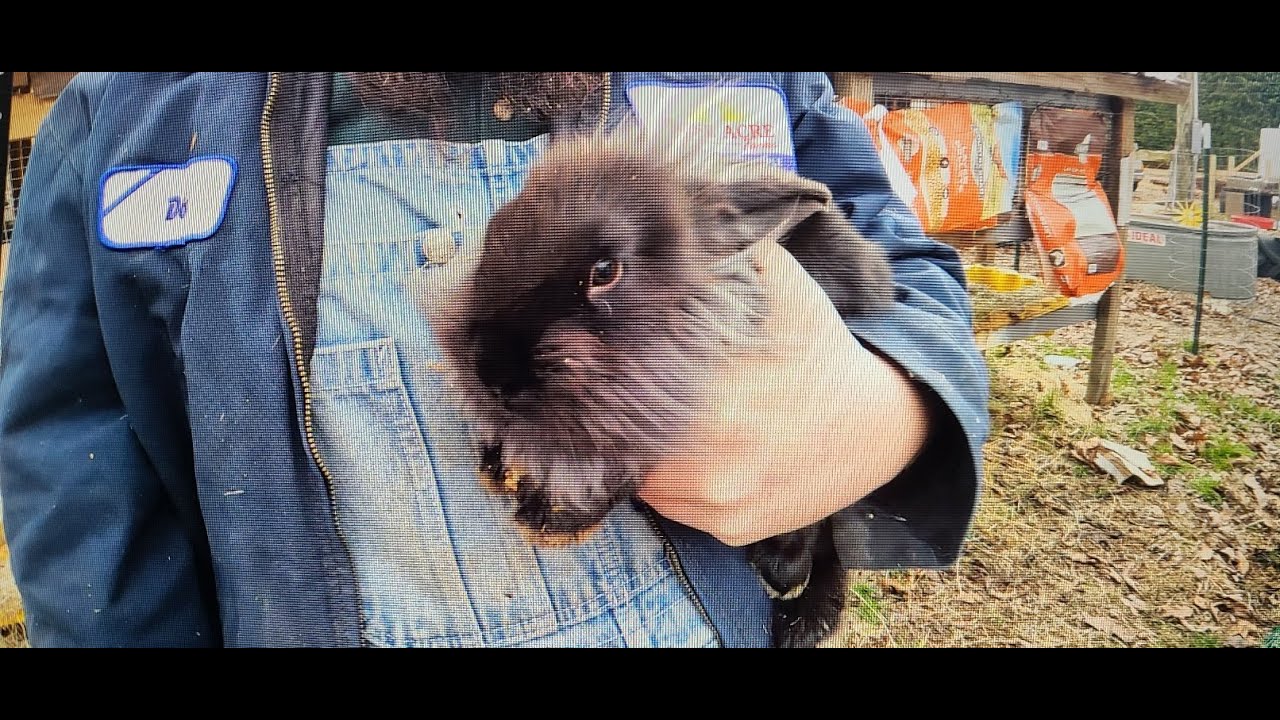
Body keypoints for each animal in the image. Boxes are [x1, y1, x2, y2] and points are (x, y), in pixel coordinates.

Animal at [430, 127, 897, 648]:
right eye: (493, 235)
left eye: (605, 271)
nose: (490, 370)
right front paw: (497, 465)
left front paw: (550, 519)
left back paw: (785, 582)